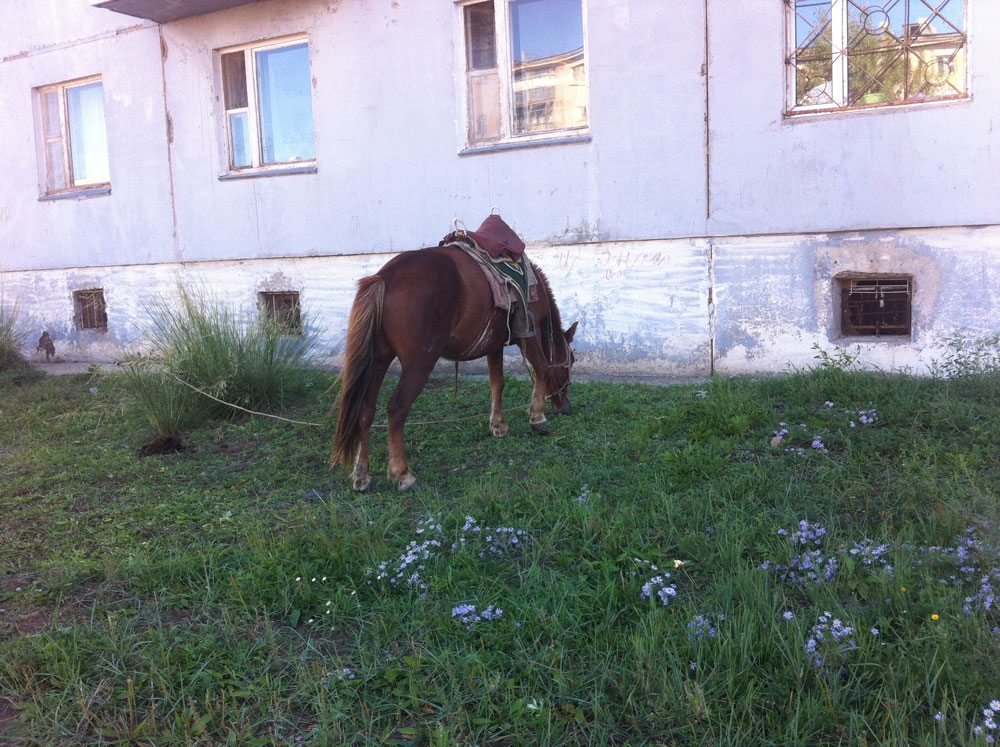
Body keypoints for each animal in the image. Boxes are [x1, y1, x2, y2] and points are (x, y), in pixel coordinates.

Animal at [330, 244, 576, 490]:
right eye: (571, 361)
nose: (565, 407)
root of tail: (385, 278)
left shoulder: (494, 344)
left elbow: (497, 383)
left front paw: (498, 425)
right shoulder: (529, 335)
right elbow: (543, 368)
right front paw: (538, 418)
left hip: (379, 359)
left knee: (366, 408)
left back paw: (362, 473)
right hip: (419, 362)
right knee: (397, 408)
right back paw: (403, 474)